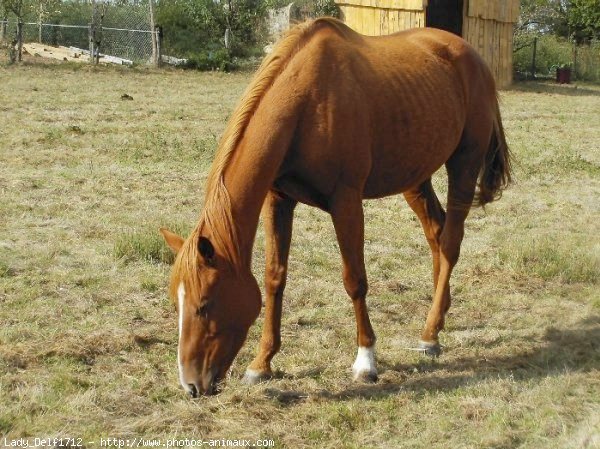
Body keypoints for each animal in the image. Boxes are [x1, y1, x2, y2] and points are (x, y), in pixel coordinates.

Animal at [161, 17, 510, 396]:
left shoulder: (346, 202)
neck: (307, 102)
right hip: (415, 177)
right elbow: (274, 278)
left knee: (450, 243)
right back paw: (438, 318)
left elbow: (354, 279)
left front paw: (366, 362)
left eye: (204, 305)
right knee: (437, 232)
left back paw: (430, 333)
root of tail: (473, 58)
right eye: (176, 302)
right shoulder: (278, 200)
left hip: (464, 164)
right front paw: (261, 363)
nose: (192, 385)